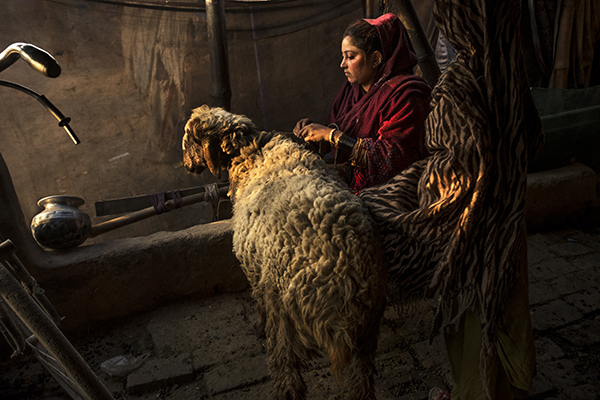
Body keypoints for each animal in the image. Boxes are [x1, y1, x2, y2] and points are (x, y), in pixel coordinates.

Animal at [183, 105, 386, 400]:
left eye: (189, 139)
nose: (186, 165)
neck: (252, 154)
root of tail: (343, 272)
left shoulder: (253, 264)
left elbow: (257, 299)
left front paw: (257, 326)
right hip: (369, 326)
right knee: (363, 379)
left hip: (285, 313)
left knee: (287, 371)